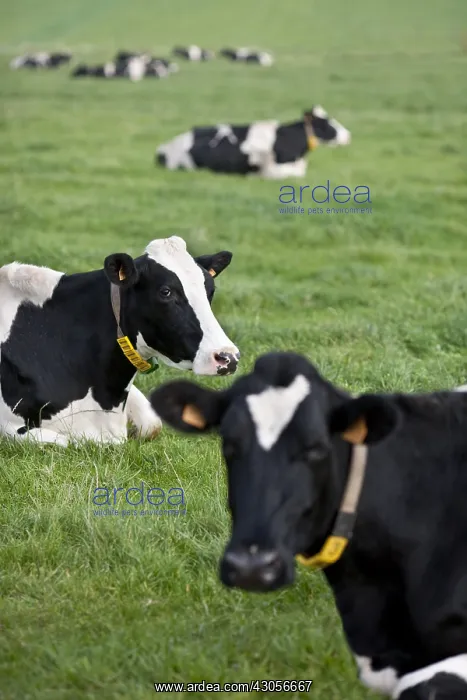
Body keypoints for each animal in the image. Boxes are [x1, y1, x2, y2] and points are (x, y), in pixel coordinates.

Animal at [0, 236, 239, 447]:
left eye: (210, 290)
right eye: (166, 292)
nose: (228, 357)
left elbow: (152, 424)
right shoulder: (11, 428)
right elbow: (66, 441)